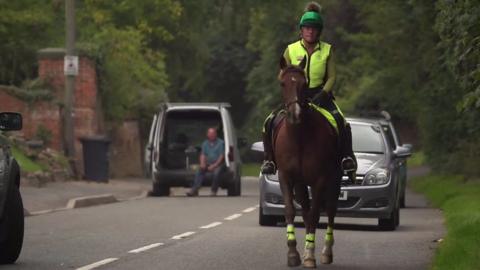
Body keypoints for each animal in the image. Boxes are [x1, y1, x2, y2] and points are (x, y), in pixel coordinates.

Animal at [274, 56, 342, 268]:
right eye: (282, 83)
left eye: (304, 84)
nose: (295, 114)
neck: (299, 137)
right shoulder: (286, 177)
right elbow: (290, 210)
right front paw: (293, 254)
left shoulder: (320, 180)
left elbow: (314, 215)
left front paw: (310, 256)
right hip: (301, 184)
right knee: (304, 210)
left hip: (334, 179)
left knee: (330, 210)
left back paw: (326, 252)